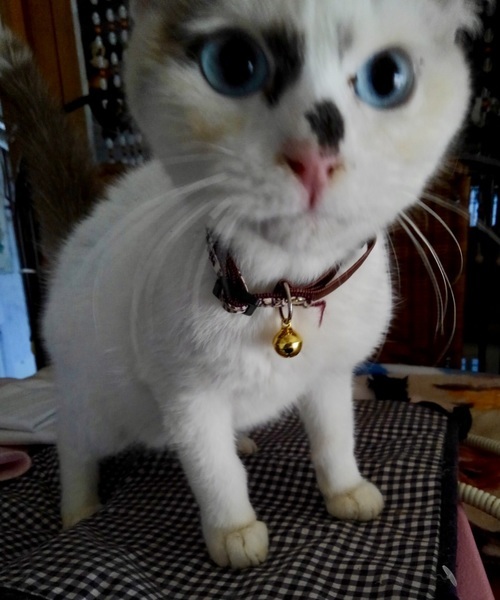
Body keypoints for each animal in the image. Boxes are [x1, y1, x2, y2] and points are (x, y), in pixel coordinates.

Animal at [0, 0, 478, 569]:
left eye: (387, 78)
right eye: (234, 65)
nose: (314, 158)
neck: (284, 289)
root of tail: (85, 225)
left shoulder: (329, 377)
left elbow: (334, 440)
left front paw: (344, 490)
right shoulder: (189, 401)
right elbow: (216, 473)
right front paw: (234, 531)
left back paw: (244, 437)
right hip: (108, 410)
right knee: (73, 442)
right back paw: (79, 508)